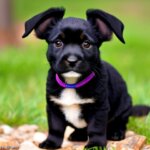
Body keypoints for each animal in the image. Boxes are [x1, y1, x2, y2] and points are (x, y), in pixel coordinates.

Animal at [22, 7, 150, 149]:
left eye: (86, 44)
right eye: (58, 43)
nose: (72, 60)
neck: (72, 83)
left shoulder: (99, 109)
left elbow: (96, 128)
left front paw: (95, 144)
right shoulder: (53, 107)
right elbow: (55, 128)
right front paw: (51, 142)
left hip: (124, 106)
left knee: (120, 122)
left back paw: (116, 133)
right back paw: (77, 135)